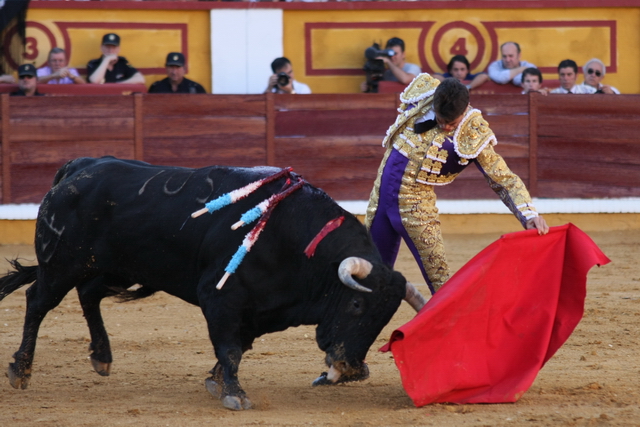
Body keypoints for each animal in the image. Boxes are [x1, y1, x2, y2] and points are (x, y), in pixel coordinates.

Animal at [1, 157, 430, 412]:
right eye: (357, 305)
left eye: (386, 317)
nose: (353, 369)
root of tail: (80, 166)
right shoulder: (221, 298)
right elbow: (231, 347)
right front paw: (233, 394)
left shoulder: (260, 310)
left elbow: (238, 346)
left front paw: (215, 380)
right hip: (62, 264)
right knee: (37, 301)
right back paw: (21, 370)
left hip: (118, 269)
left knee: (89, 295)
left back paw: (102, 357)